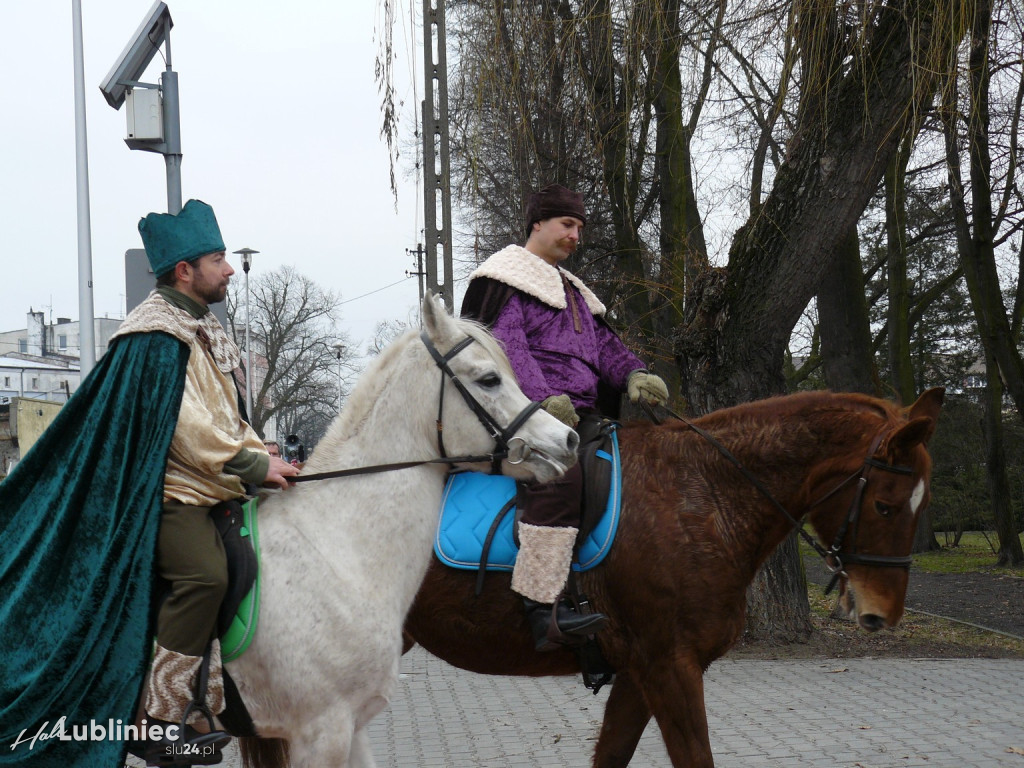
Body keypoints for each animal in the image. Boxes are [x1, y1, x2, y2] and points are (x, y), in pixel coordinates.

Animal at [403, 391, 946, 768]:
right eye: (885, 505)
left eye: (922, 506)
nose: (882, 614)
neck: (699, 496)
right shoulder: (669, 666)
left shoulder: (638, 673)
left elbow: (613, 753)